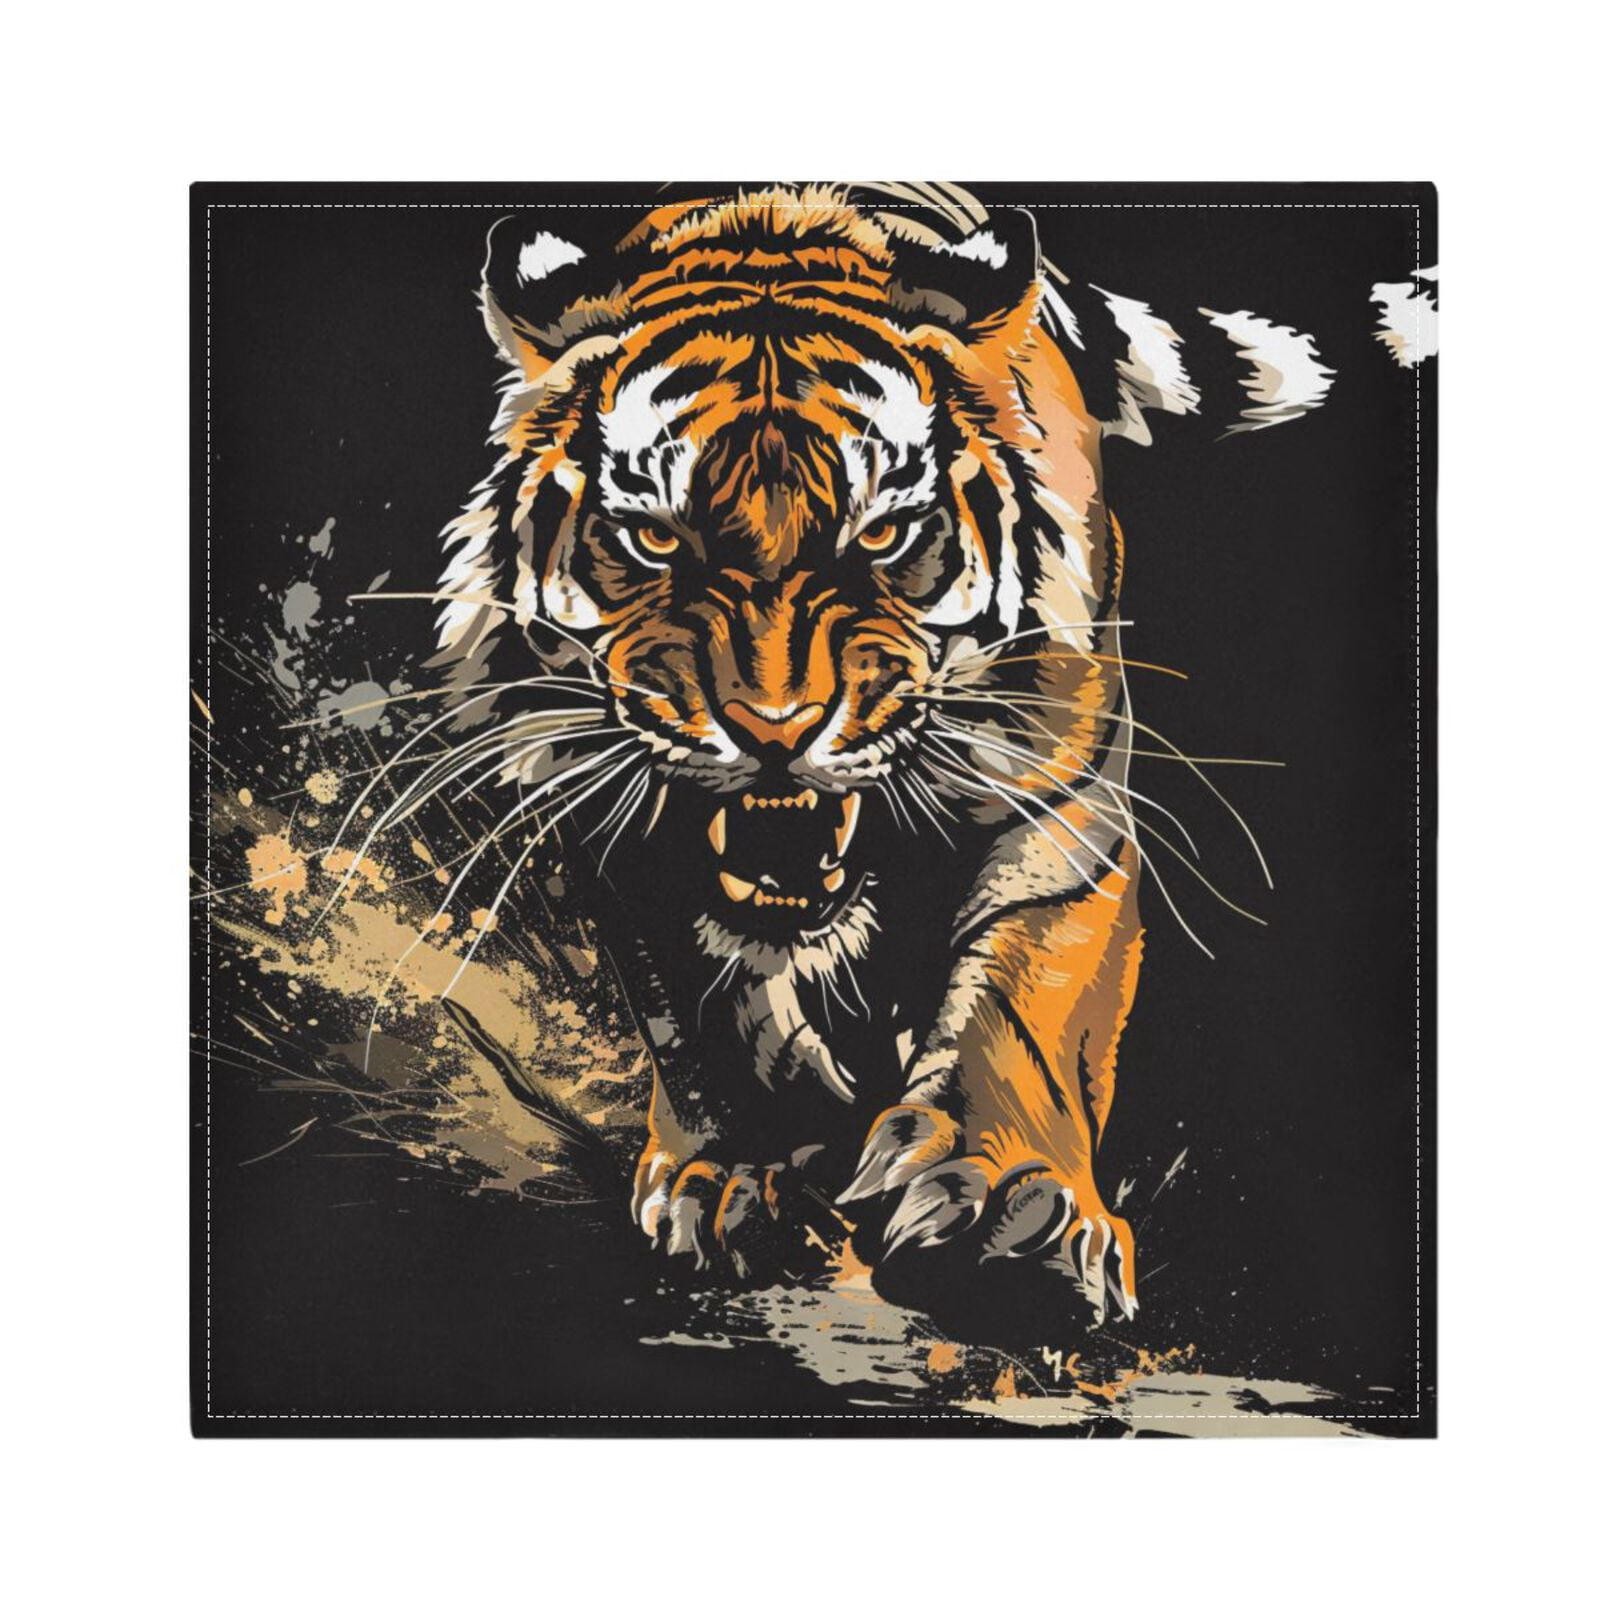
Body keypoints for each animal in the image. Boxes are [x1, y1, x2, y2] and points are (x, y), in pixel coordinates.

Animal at [432, 185, 1148, 1322]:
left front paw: (1004, 1205)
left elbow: (1022, 996)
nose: (774, 727)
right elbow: (704, 1008)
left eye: (883, 536)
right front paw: (737, 1173)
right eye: (657, 540)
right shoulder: (611, 828)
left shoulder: (1061, 795)